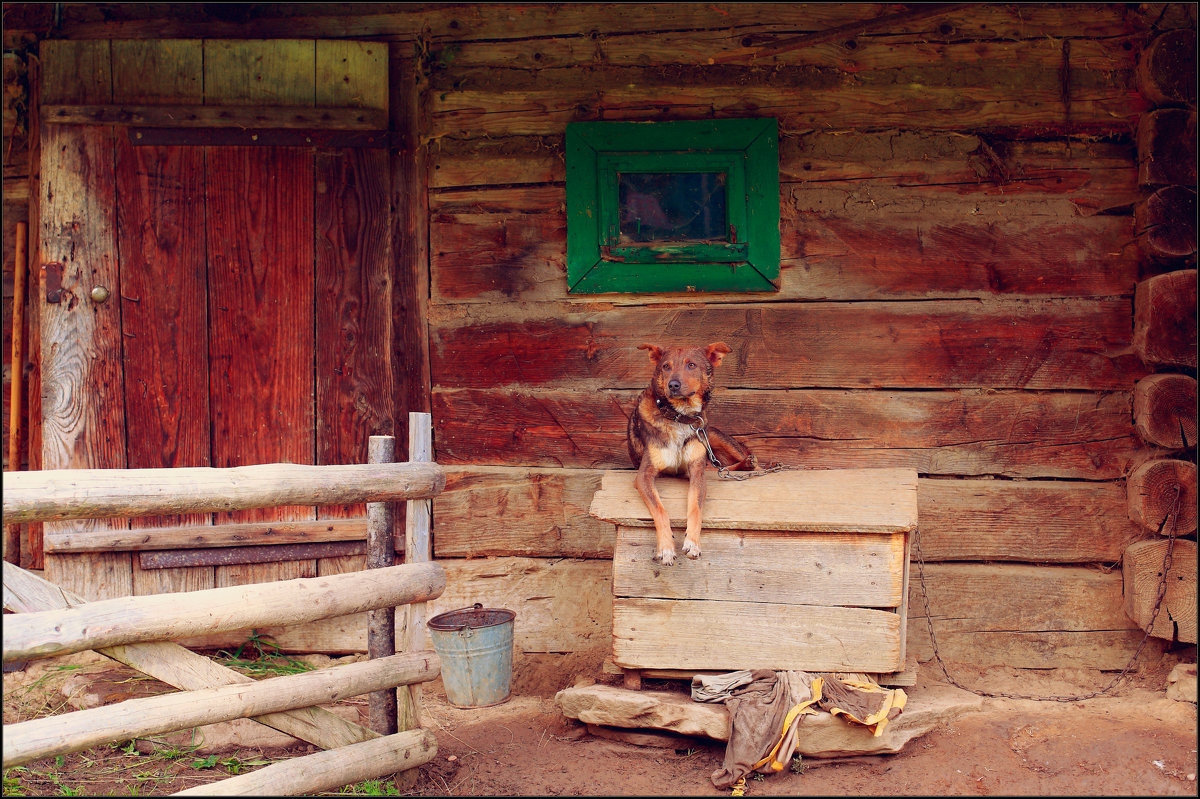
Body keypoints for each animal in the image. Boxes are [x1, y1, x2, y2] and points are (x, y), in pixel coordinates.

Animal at [624, 338, 753, 563]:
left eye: (691, 365)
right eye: (666, 366)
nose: (673, 385)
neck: (679, 417)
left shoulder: (695, 471)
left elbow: (696, 508)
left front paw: (692, 543)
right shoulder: (644, 474)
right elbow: (660, 509)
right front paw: (666, 547)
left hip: (711, 435)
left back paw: (747, 462)